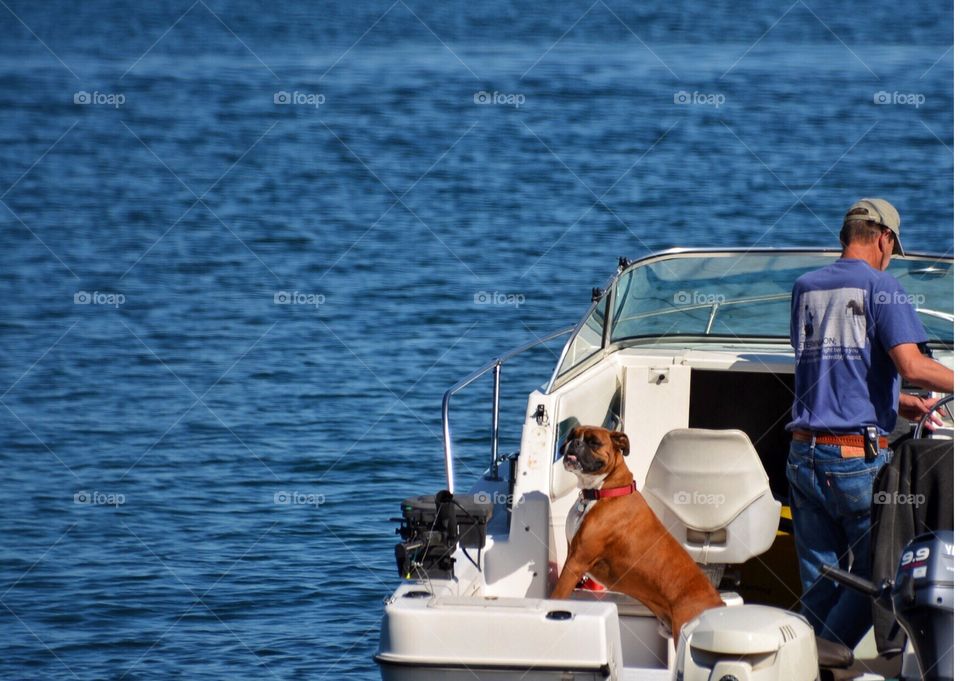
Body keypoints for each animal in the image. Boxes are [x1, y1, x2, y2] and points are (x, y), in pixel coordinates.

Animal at [548, 422, 720, 640]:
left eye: (593, 442)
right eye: (572, 436)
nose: (574, 443)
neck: (603, 490)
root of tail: (720, 604)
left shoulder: (577, 561)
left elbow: (556, 596)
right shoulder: (572, 554)